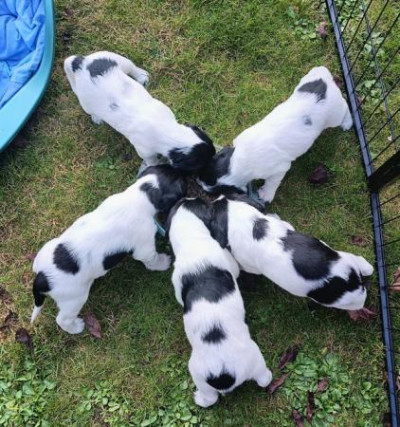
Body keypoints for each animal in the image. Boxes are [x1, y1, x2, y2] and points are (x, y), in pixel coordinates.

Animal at [30, 164, 187, 334]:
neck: (140, 195)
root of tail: (42, 277)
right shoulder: (144, 248)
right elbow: (153, 260)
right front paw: (163, 262)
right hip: (75, 299)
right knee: (62, 319)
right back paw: (75, 327)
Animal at [64, 52, 216, 173]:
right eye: (200, 166)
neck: (165, 128)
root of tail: (81, 64)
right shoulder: (145, 152)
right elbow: (153, 161)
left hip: (115, 58)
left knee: (131, 67)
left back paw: (142, 76)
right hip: (85, 102)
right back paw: (96, 117)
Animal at [198, 65, 352, 202]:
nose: (199, 183)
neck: (241, 158)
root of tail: (324, 84)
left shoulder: (279, 170)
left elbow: (272, 183)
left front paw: (266, 194)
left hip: (335, 115)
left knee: (345, 105)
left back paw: (348, 122)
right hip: (303, 83)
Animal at [206, 196, 376, 312]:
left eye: (212, 211)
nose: (216, 198)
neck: (252, 224)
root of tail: (353, 280)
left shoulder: (249, 264)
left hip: (347, 301)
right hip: (347, 256)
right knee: (363, 263)